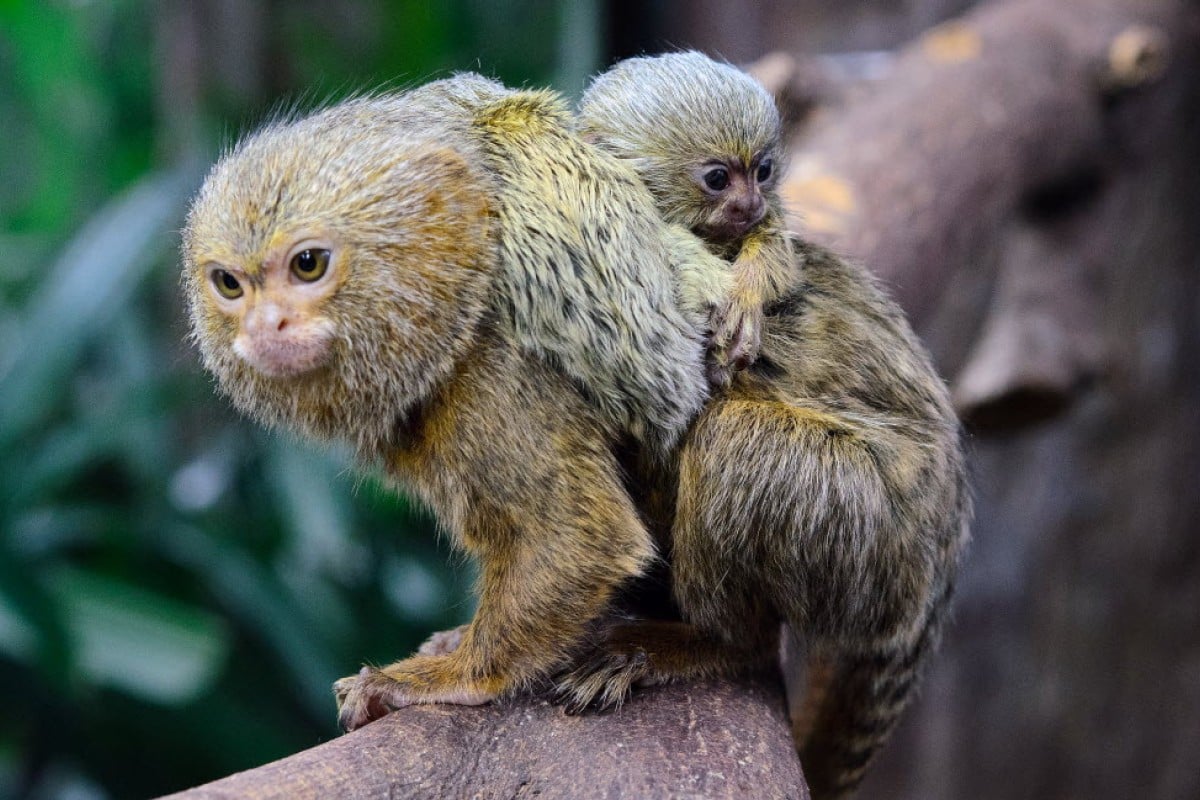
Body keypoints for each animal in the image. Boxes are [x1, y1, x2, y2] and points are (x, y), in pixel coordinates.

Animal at [181, 75, 736, 734]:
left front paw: (447, 677)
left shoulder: (497, 378)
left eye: (308, 265)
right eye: (230, 284)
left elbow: (581, 539)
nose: (267, 326)